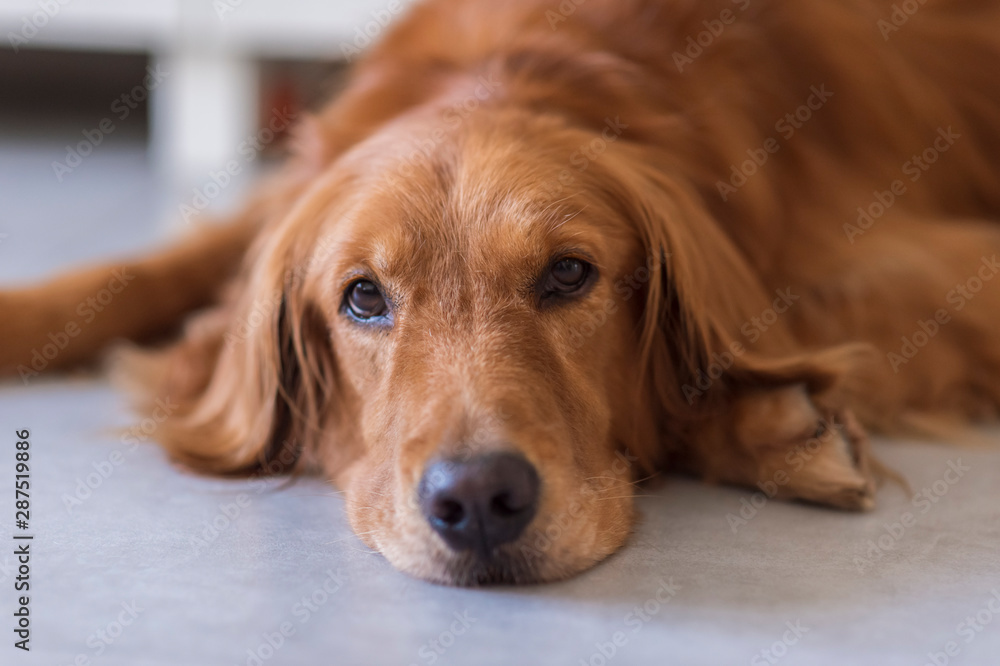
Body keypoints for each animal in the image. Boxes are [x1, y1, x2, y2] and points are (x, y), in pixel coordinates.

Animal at [1, 0, 1000, 580]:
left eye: (568, 274)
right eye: (363, 298)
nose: (479, 501)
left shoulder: (942, 263)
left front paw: (775, 423)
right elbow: (145, 273)